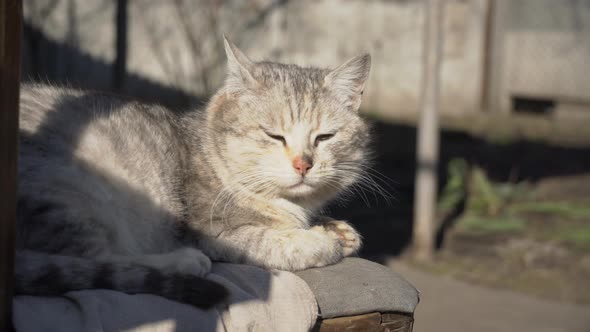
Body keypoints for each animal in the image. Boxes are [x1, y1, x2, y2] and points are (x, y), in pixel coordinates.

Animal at [16, 37, 372, 310]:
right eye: (274, 136)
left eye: (324, 137)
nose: (303, 164)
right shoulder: (214, 231)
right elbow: (275, 242)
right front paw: (322, 239)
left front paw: (339, 230)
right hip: (71, 194)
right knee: (98, 259)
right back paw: (183, 262)